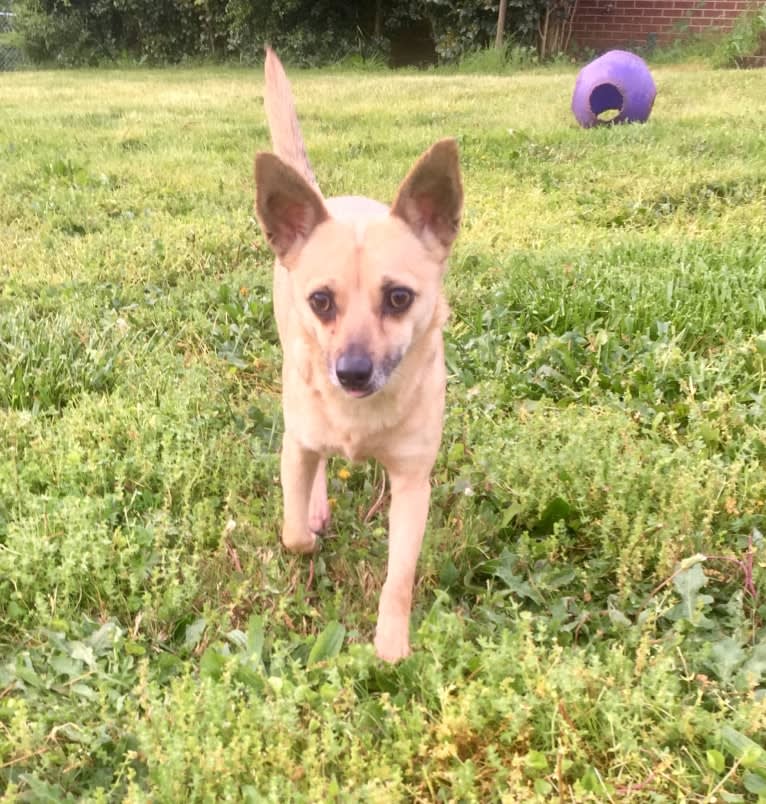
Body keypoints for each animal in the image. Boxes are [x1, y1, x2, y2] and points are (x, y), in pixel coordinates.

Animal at [255, 48, 464, 660]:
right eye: (321, 301)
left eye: (399, 298)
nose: (350, 373)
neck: (360, 417)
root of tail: (332, 199)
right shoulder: (297, 441)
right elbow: (293, 532)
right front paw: (307, 530)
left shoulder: (413, 485)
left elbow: (400, 576)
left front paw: (391, 645)